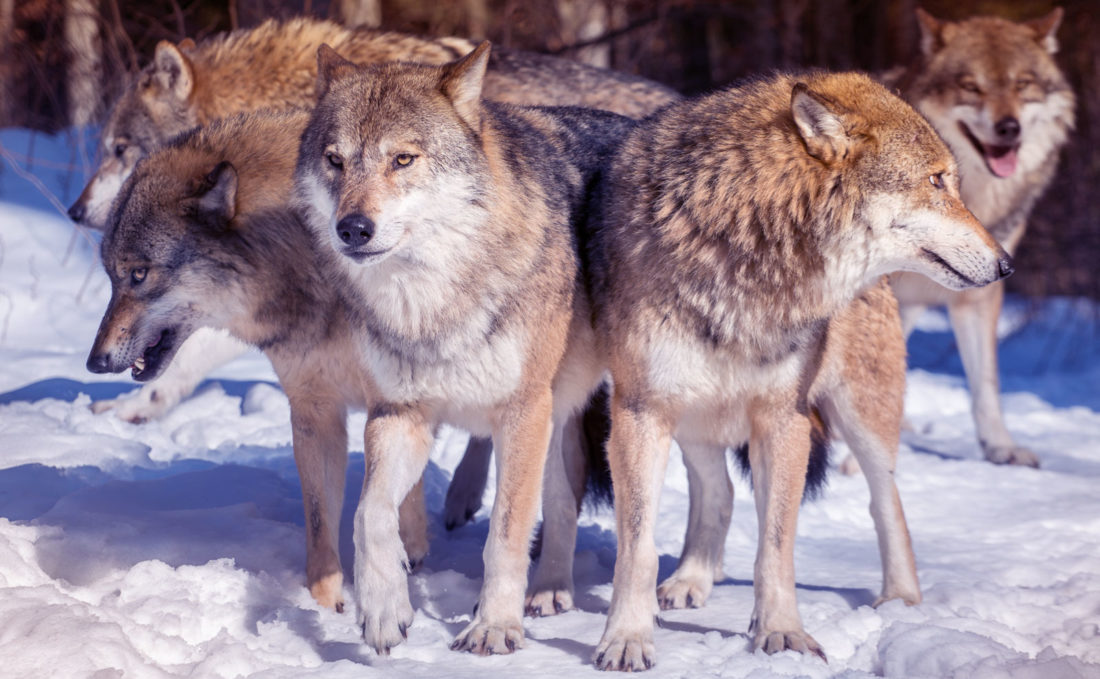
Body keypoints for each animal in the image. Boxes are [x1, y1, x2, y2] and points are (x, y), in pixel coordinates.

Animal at [294, 43, 635, 655]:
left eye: (403, 159)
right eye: (335, 160)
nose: (352, 228)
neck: (429, 302)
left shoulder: (523, 410)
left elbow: (505, 533)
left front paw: (494, 627)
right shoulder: (400, 413)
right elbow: (368, 515)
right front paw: (384, 610)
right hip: (559, 409)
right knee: (562, 496)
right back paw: (548, 589)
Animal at [588, 71, 1013, 670]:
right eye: (937, 181)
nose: (1007, 265)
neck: (752, 252)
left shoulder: (782, 419)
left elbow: (776, 547)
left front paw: (782, 634)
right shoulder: (640, 413)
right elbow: (638, 547)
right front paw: (627, 637)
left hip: (861, 415)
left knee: (887, 503)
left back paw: (901, 600)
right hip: (696, 418)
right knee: (719, 492)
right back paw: (692, 580)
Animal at [888, 8, 1074, 467]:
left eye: (1022, 84)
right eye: (971, 86)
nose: (1008, 128)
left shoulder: (981, 291)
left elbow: (985, 384)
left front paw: (1000, 448)